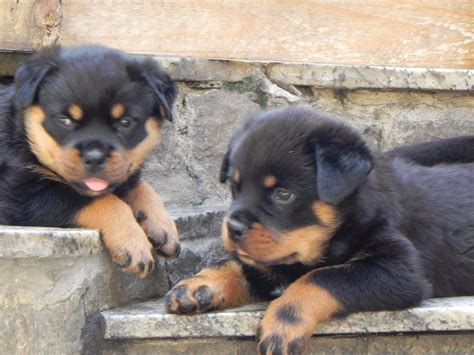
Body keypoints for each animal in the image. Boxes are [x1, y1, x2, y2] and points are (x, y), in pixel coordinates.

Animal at [0, 45, 181, 278]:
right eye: (65, 120)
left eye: (125, 122)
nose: (95, 157)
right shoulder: (19, 195)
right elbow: (102, 201)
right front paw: (133, 243)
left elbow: (142, 187)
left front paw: (163, 226)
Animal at [167, 107, 474, 354]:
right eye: (234, 186)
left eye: (283, 194)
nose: (233, 228)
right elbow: (240, 264)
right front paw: (198, 284)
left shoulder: (399, 269)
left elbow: (321, 277)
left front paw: (283, 323)